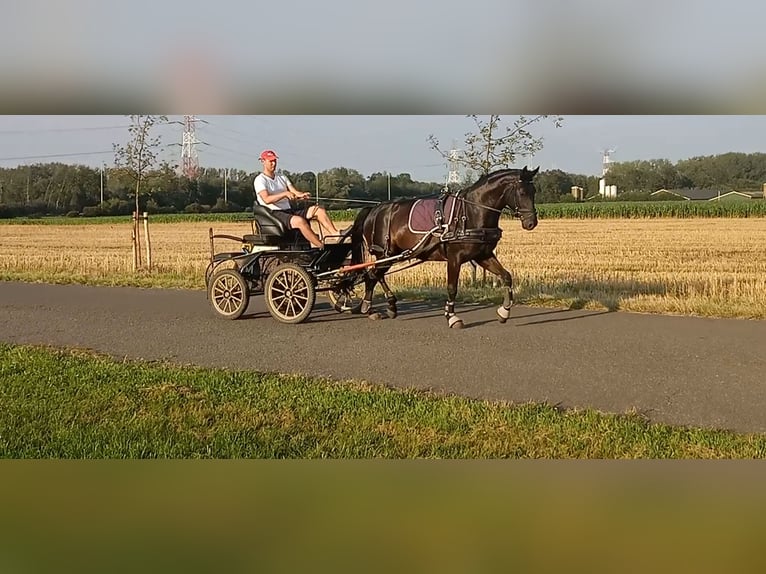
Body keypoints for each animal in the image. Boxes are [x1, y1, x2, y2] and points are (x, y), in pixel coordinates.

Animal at [352, 166, 544, 328]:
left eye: (534, 191)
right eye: (522, 192)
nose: (531, 223)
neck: (471, 212)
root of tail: (375, 209)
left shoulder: (483, 255)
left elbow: (506, 277)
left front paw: (504, 312)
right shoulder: (454, 259)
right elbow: (452, 288)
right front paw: (452, 317)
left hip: (390, 255)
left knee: (375, 275)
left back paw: (384, 306)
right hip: (385, 254)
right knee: (372, 275)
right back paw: (371, 307)